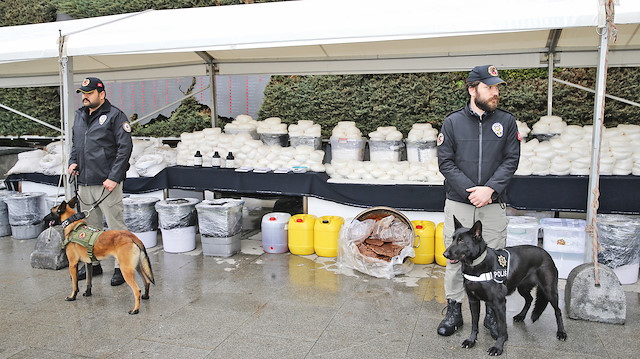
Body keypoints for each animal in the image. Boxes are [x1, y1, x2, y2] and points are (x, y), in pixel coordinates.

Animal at [442, 217, 568, 358]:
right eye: (453, 239)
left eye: (461, 241)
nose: (444, 254)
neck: (476, 265)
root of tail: (546, 253)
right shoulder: (473, 301)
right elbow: (474, 324)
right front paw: (471, 340)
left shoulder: (499, 303)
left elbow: (502, 328)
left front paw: (498, 347)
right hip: (522, 288)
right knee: (529, 299)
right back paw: (521, 316)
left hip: (549, 291)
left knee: (558, 311)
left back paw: (561, 332)